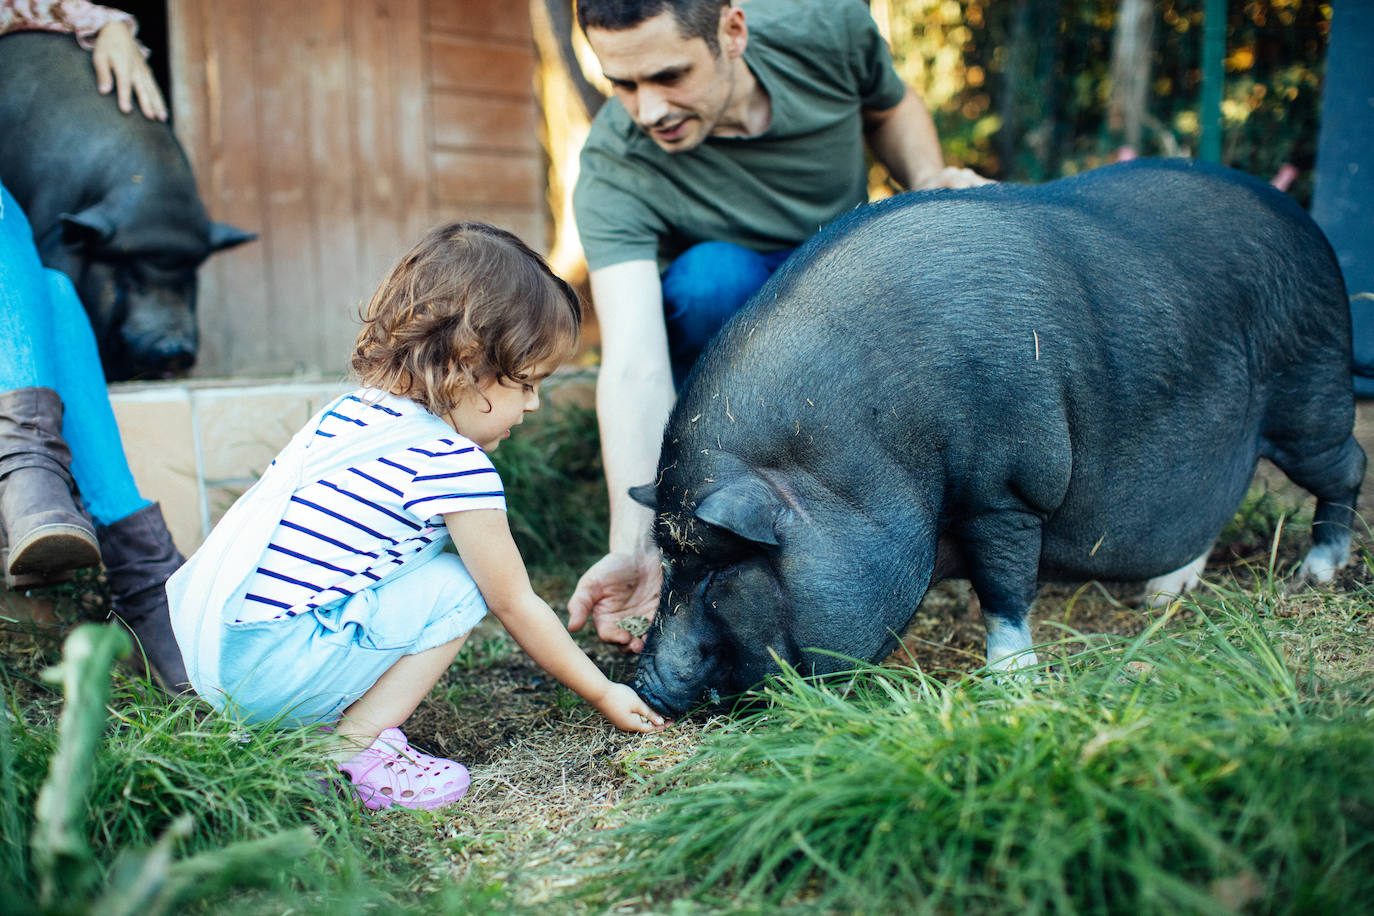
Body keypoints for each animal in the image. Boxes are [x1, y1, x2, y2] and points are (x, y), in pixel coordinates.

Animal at [629, 155, 1363, 714]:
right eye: (666, 562)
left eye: (718, 567)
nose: (641, 685)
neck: (873, 459)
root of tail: (1309, 228)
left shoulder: (1007, 488)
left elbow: (1004, 588)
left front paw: (1011, 682)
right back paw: (1164, 595)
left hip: (1311, 394)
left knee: (1346, 467)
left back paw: (1314, 575)